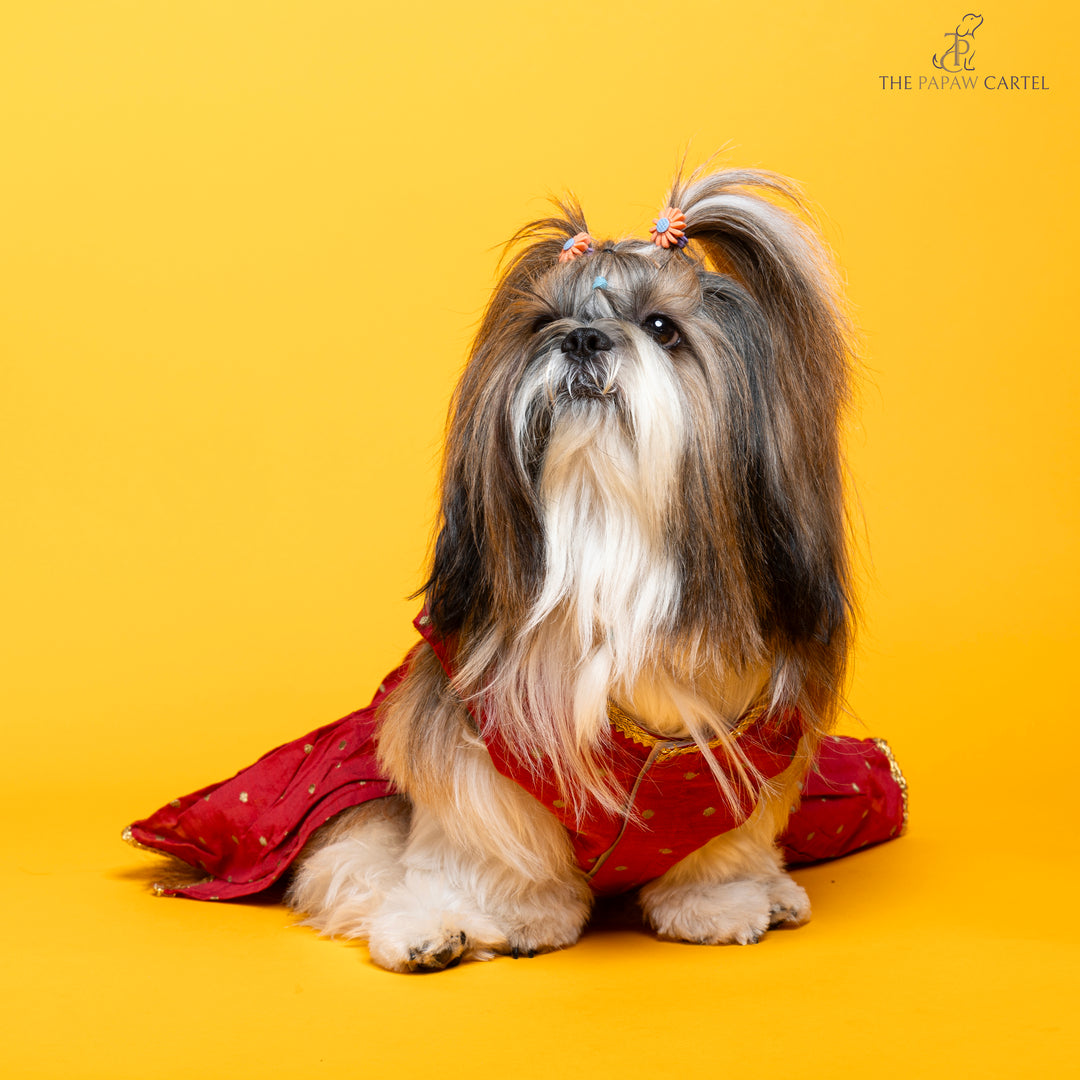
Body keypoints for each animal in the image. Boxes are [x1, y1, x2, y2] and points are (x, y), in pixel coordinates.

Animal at [282, 164, 855, 976]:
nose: (583, 337)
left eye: (662, 329)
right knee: (357, 865)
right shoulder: (479, 752)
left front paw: (716, 903)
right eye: (543, 323)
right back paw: (426, 931)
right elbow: (485, 843)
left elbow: (722, 839)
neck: (606, 541)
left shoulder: (738, 749)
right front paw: (511, 916)